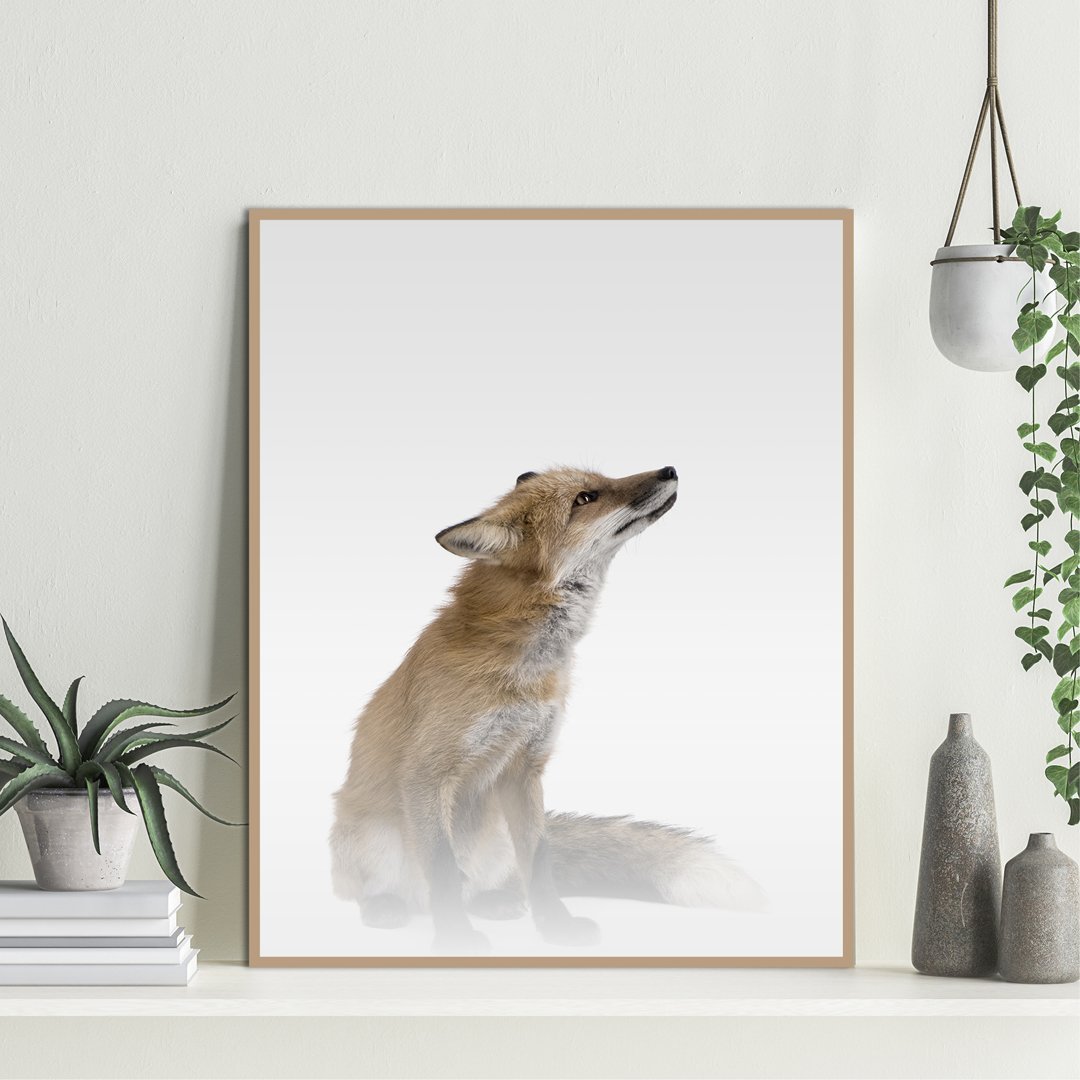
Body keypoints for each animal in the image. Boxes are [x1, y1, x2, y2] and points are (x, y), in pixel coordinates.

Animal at [330, 465, 762, 952]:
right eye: (586, 498)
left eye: (601, 480)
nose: (669, 469)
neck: (524, 669)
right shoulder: (426, 772)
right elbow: (442, 868)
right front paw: (456, 937)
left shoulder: (525, 769)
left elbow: (539, 862)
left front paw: (556, 926)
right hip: (372, 838)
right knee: (378, 889)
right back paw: (387, 907)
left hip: (495, 834)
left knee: (487, 880)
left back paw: (493, 901)